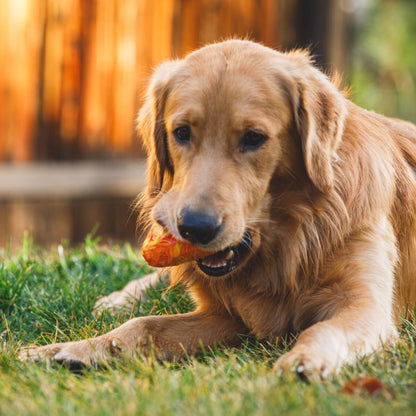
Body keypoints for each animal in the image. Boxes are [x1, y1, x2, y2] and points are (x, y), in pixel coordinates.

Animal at [21, 40, 416, 378]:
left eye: (254, 138)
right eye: (181, 132)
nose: (196, 227)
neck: (290, 240)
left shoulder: (364, 306)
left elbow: (322, 330)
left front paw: (306, 359)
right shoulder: (226, 316)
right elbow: (144, 326)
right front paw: (75, 348)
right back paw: (118, 299)